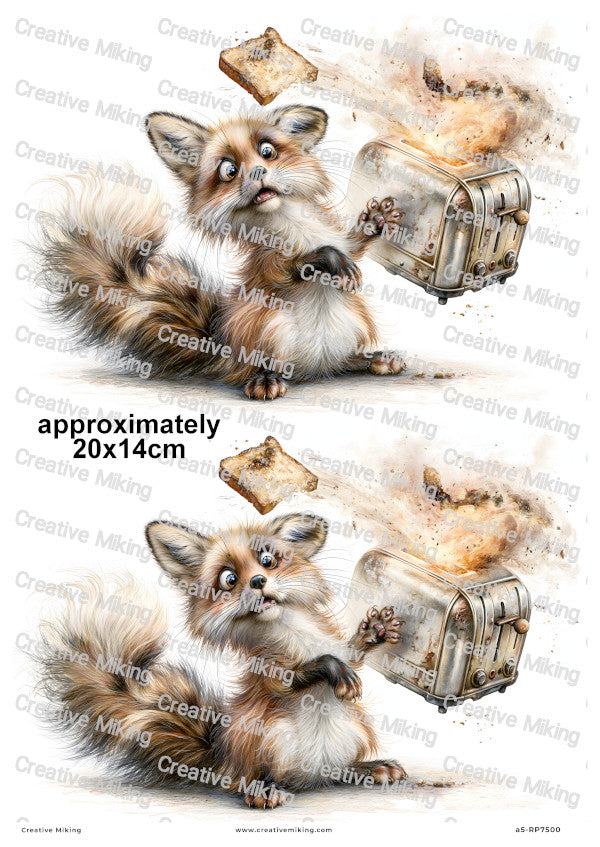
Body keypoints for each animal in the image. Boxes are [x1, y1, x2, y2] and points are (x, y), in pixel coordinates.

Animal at [33, 104, 406, 399]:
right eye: (229, 170)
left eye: (268, 152)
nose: (258, 172)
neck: (295, 225)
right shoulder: (266, 262)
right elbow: (287, 268)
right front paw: (323, 258)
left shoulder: (340, 237)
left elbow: (354, 245)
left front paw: (377, 220)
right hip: (268, 326)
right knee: (258, 367)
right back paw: (265, 379)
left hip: (353, 324)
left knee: (339, 363)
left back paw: (372, 359)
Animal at [33, 511, 406, 808]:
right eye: (229, 579)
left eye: (268, 561)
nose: (258, 581)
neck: (296, 634)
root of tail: (220, 752)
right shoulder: (271, 673)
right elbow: (306, 672)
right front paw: (332, 669)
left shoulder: (338, 646)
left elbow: (353, 653)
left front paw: (376, 630)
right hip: (268, 738)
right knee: (249, 779)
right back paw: (263, 790)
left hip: (353, 732)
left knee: (331, 773)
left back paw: (366, 769)